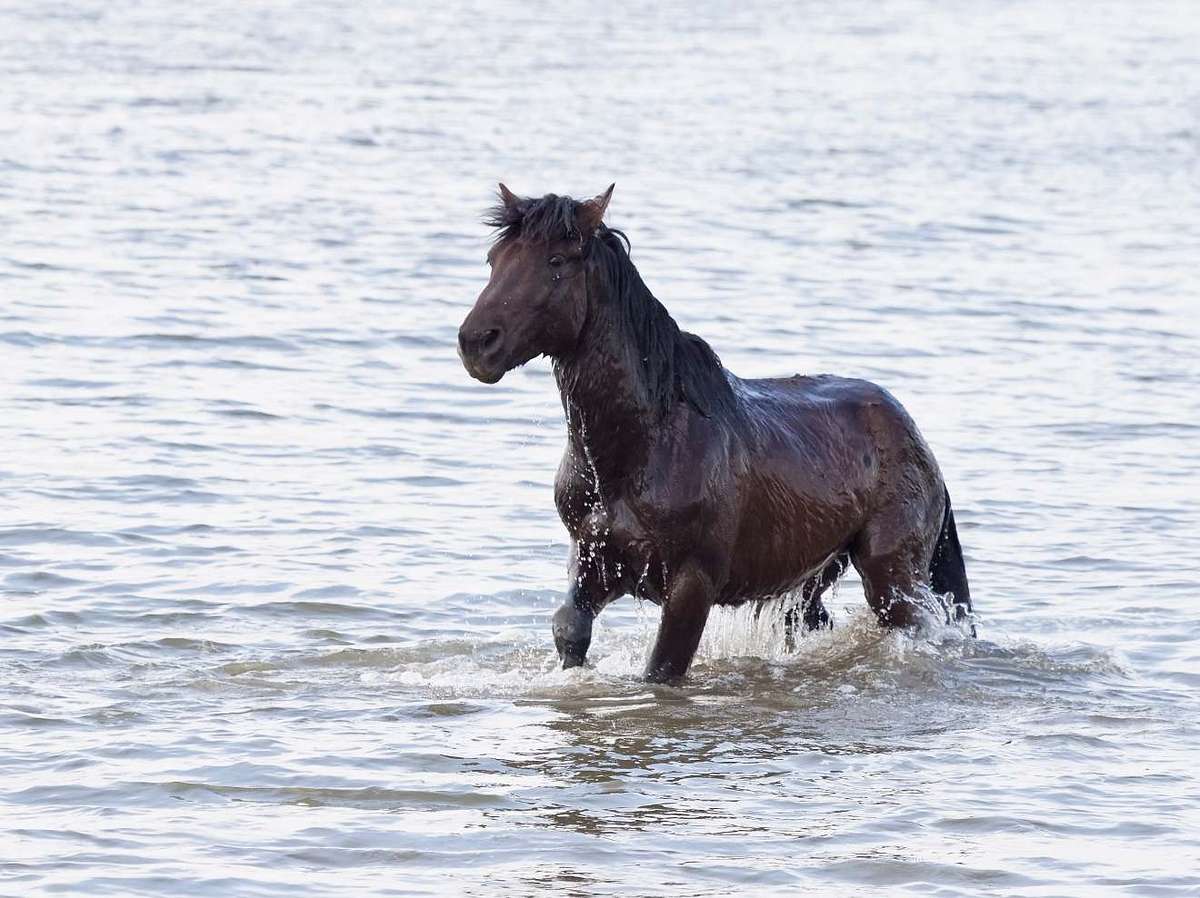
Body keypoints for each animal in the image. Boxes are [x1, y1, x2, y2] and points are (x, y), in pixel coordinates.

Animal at [453, 186, 969, 681]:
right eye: (494, 259)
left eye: (556, 262)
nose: (476, 343)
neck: (640, 450)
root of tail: (919, 441)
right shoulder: (593, 562)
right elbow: (570, 631)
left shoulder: (692, 584)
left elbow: (661, 669)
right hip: (811, 578)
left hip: (892, 577)